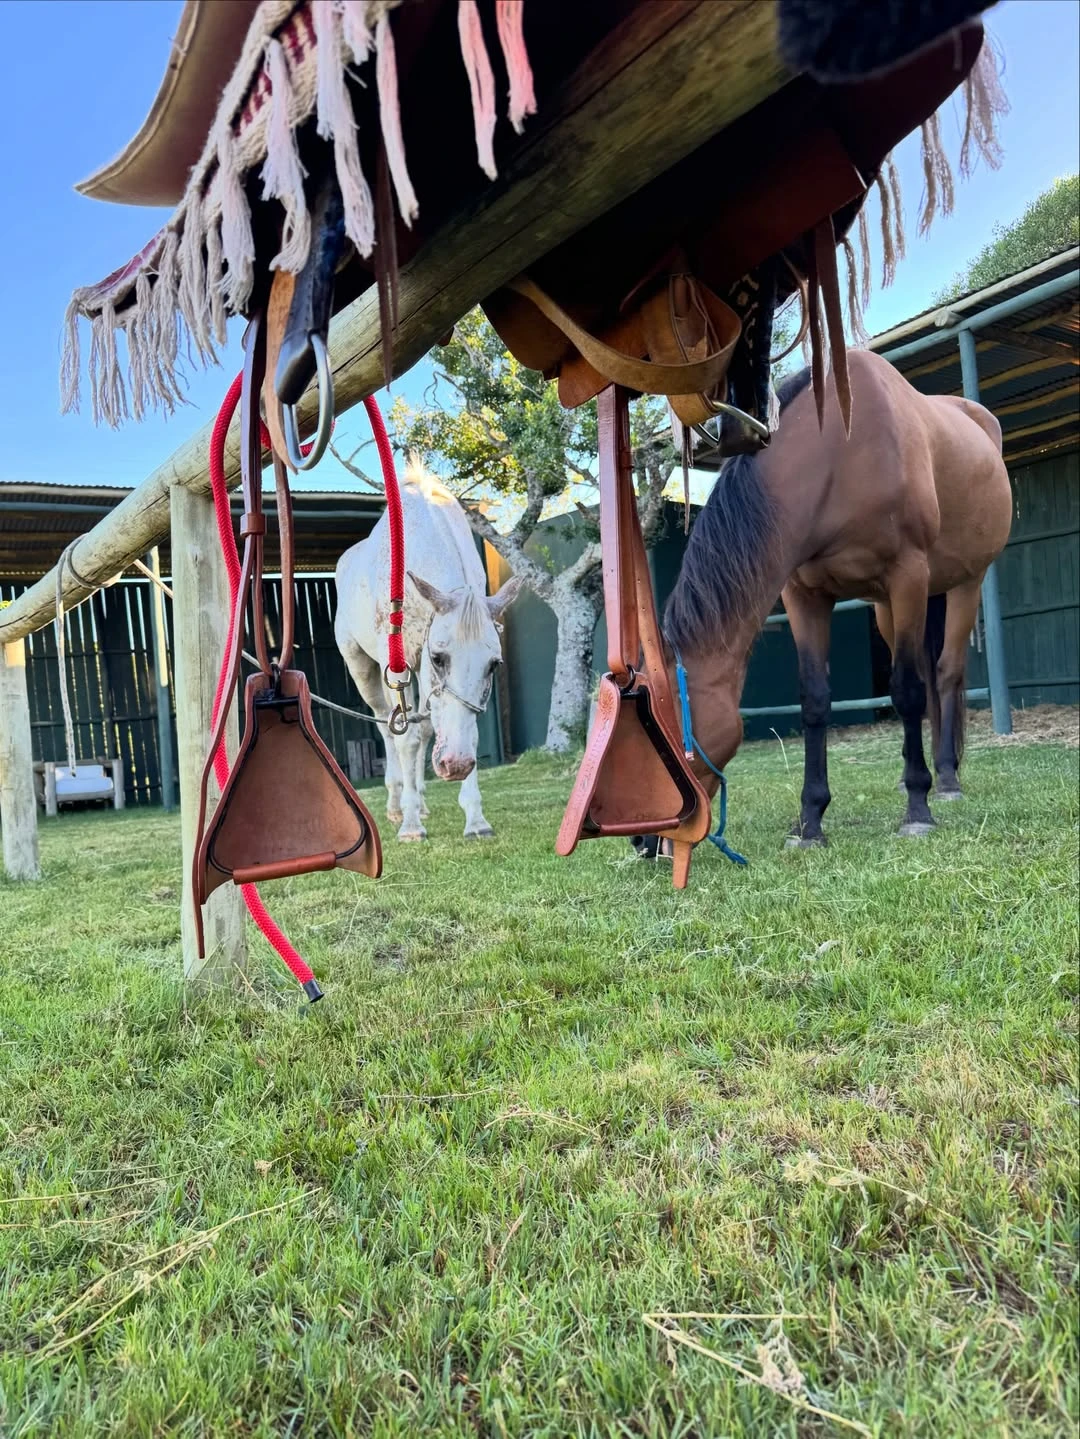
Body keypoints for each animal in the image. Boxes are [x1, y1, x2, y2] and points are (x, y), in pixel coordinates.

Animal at [335, 463, 521, 842]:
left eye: (494, 665)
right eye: (440, 657)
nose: (456, 765)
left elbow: (450, 732)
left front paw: (475, 819)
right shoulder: (401, 666)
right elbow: (404, 737)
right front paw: (410, 826)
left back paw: (419, 801)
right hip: (361, 665)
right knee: (386, 725)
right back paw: (397, 806)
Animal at [656, 348, 1012, 850]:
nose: (645, 842)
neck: (842, 455)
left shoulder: (908, 575)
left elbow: (906, 691)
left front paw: (917, 810)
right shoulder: (805, 595)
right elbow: (815, 700)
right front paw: (810, 820)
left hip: (964, 583)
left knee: (944, 674)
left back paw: (943, 779)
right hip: (887, 607)